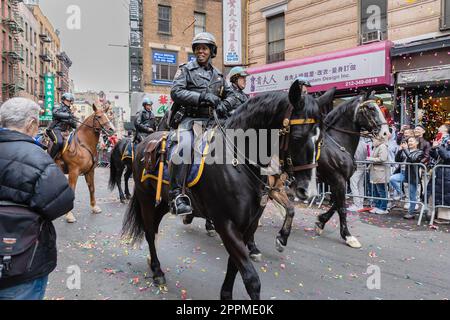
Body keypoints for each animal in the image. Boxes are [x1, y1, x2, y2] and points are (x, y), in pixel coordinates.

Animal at [123, 80, 330, 300]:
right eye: (298, 136)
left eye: (321, 140)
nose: (309, 191)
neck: (238, 161)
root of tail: (146, 142)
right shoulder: (226, 224)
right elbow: (251, 279)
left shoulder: (248, 224)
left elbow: (234, 265)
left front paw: (226, 294)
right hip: (146, 199)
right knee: (149, 232)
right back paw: (157, 271)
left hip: (163, 201)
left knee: (154, 227)